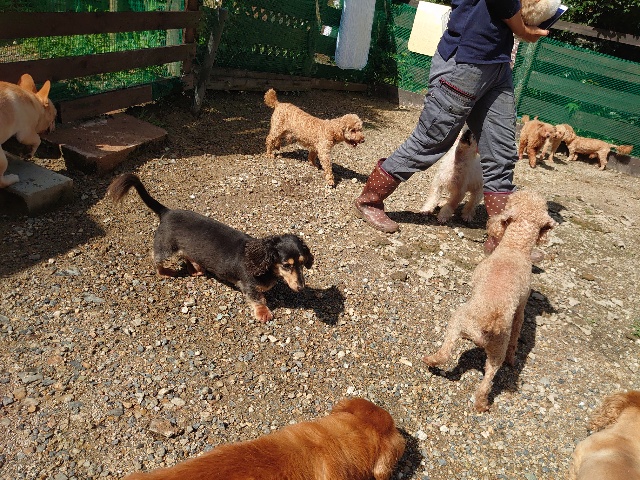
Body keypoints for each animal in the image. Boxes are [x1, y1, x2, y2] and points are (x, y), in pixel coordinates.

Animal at [107, 173, 313, 323]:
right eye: (286, 265)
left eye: (302, 263)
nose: (301, 287)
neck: (260, 260)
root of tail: (166, 212)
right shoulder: (247, 285)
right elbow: (257, 298)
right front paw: (263, 312)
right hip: (165, 248)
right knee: (156, 258)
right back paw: (166, 272)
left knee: (187, 255)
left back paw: (195, 268)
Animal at [423, 190, 556, 412]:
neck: (515, 247)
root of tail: (490, 323)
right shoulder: (521, 306)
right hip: (494, 353)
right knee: (486, 379)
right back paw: (481, 404)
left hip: (458, 321)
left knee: (447, 353)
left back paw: (430, 360)